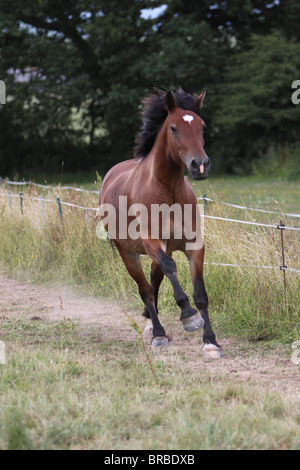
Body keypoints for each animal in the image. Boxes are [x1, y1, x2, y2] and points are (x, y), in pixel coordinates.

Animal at [100, 89, 223, 360]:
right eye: (174, 128)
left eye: (202, 126)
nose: (200, 165)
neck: (169, 191)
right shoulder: (151, 242)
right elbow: (169, 270)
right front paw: (188, 317)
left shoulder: (193, 245)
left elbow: (200, 293)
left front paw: (210, 341)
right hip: (129, 253)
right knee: (145, 288)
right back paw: (157, 333)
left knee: (154, 281)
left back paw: (150, 323)